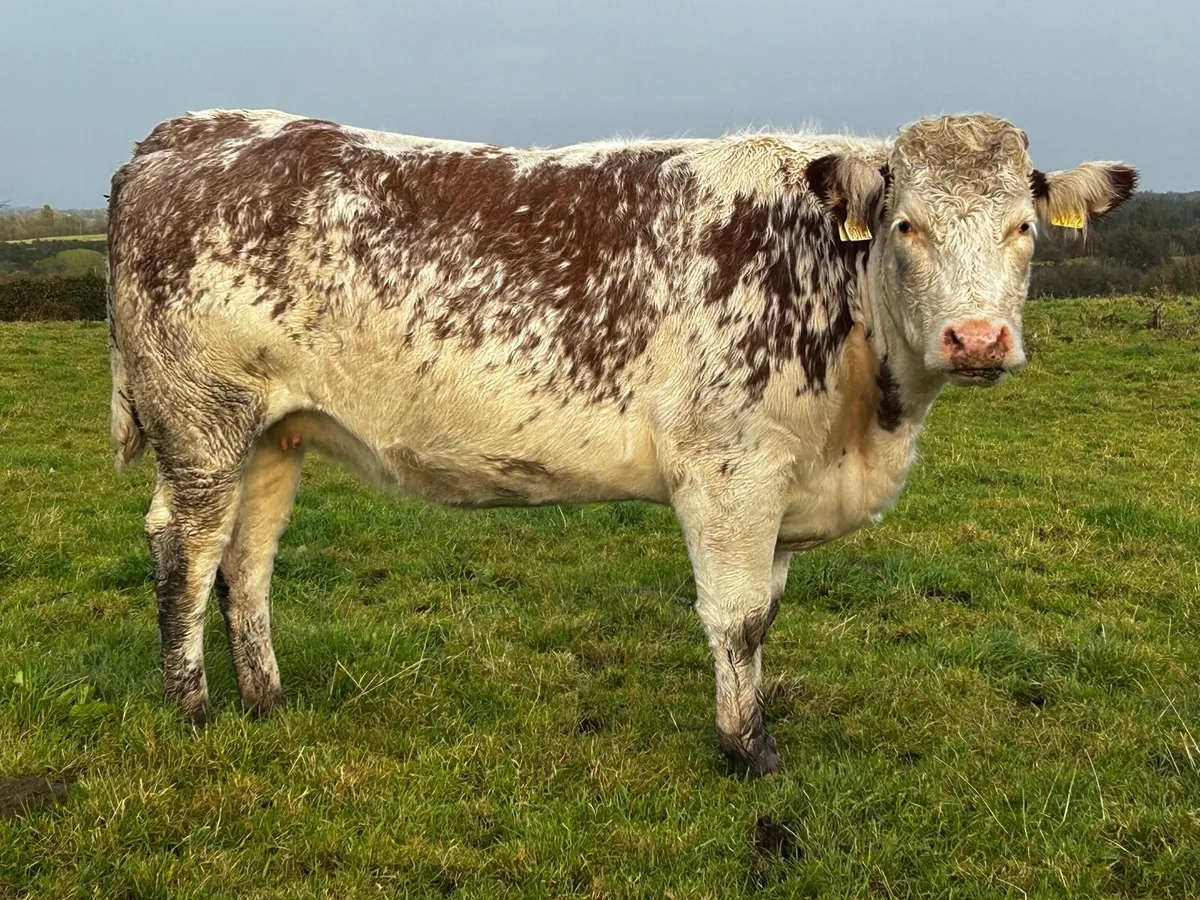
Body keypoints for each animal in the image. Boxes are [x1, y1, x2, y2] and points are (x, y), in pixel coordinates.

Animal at [107, 109, 1135, 776]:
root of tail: (186, 132)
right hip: (201, 424)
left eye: (1024, 228)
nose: (977, 339)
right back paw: (194, 710)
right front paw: (748, 751)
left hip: (273, 433)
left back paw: (266, 699)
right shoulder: (731, 467)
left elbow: (766, 613)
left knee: (247, 560)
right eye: (906, 225)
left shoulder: (779, 482)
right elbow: (738, 618)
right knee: (185, 551)